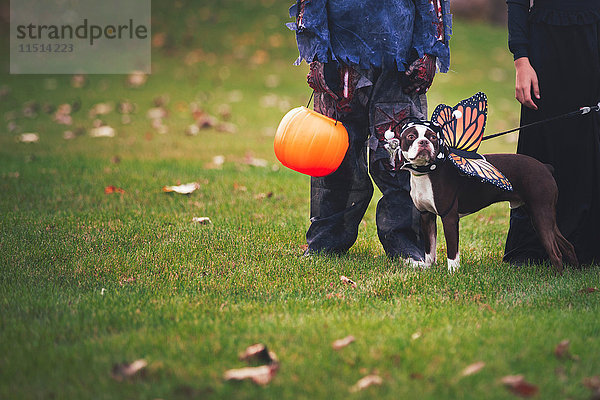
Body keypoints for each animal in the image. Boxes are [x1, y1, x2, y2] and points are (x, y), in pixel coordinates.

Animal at [396, 120, 580, 274]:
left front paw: (453, 274)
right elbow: (429, 249)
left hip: (540, 214)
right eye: (411, 136)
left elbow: (452, 252)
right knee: (567, 245)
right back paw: (574, 273)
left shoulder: (449, 217)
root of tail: (545, 167)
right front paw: (428, 269)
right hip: (542, 214)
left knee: (555, 252)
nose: (424, 142)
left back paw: (556, 278)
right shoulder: (426, 216)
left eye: (433, 137)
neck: (427, 171)